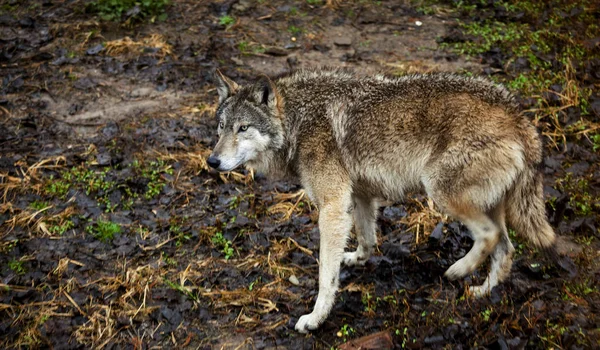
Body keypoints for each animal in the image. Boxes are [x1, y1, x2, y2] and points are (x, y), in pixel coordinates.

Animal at [207, 67, 556, 332]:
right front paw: (355, 258)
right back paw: (482, 292)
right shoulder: (359, 195)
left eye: (243, 128)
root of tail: (520, 116)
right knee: (506, 249)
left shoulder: (332, 206)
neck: (298, 120)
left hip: (441, 192)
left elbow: (325, 276)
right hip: (485, 203)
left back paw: (458, 271)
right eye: (221, 128)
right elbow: (367, 238)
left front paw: (316, 318)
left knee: (490, 235)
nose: (212, 161)